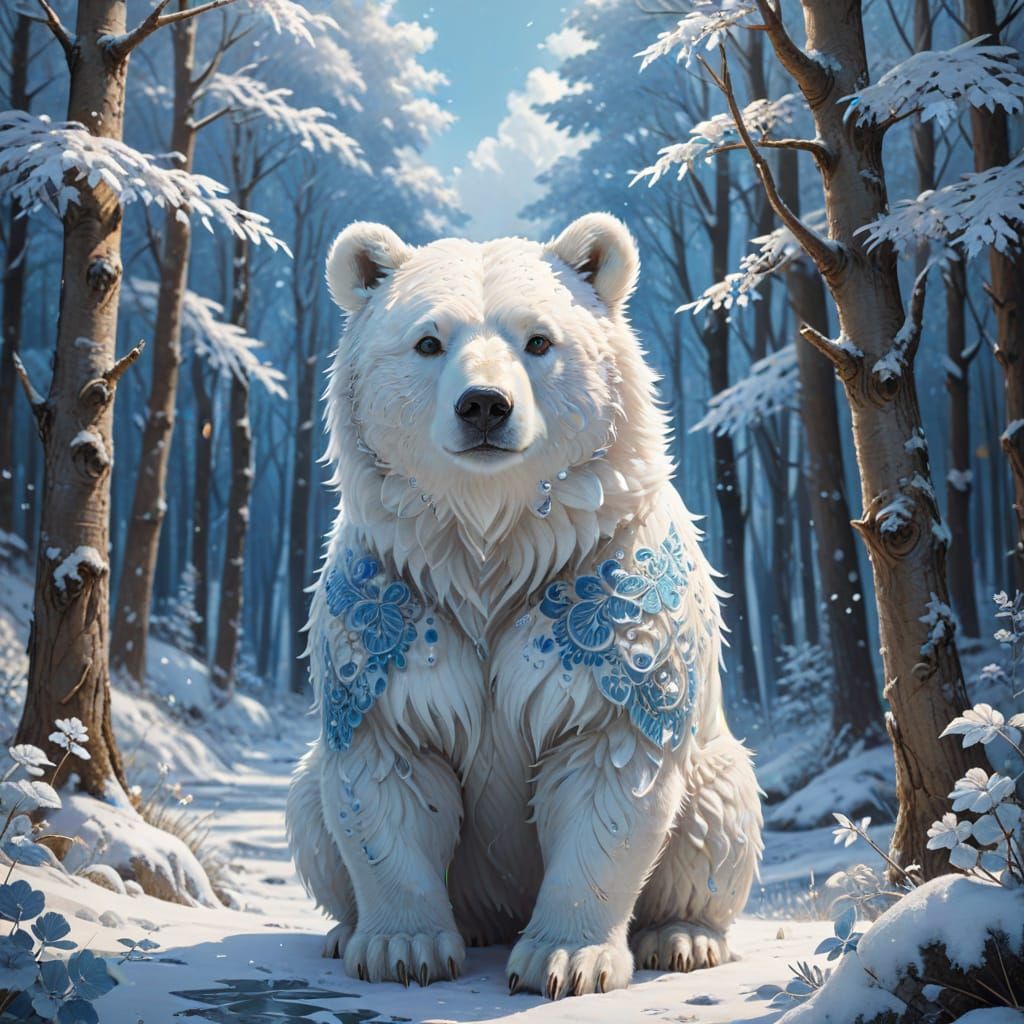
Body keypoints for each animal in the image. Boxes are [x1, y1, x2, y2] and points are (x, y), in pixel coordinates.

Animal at [286, 213, 763, 999]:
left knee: (719, 814)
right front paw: (402, 949)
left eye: (539, 340)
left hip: (715, 765)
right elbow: (385, 769)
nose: (484, 404)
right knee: (308, 807)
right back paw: (346, 932)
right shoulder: (400, 600)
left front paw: (566, 959)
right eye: (428, 340)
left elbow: (611, 770)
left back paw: (683, 936)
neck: (491, 550)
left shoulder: (600, 596)